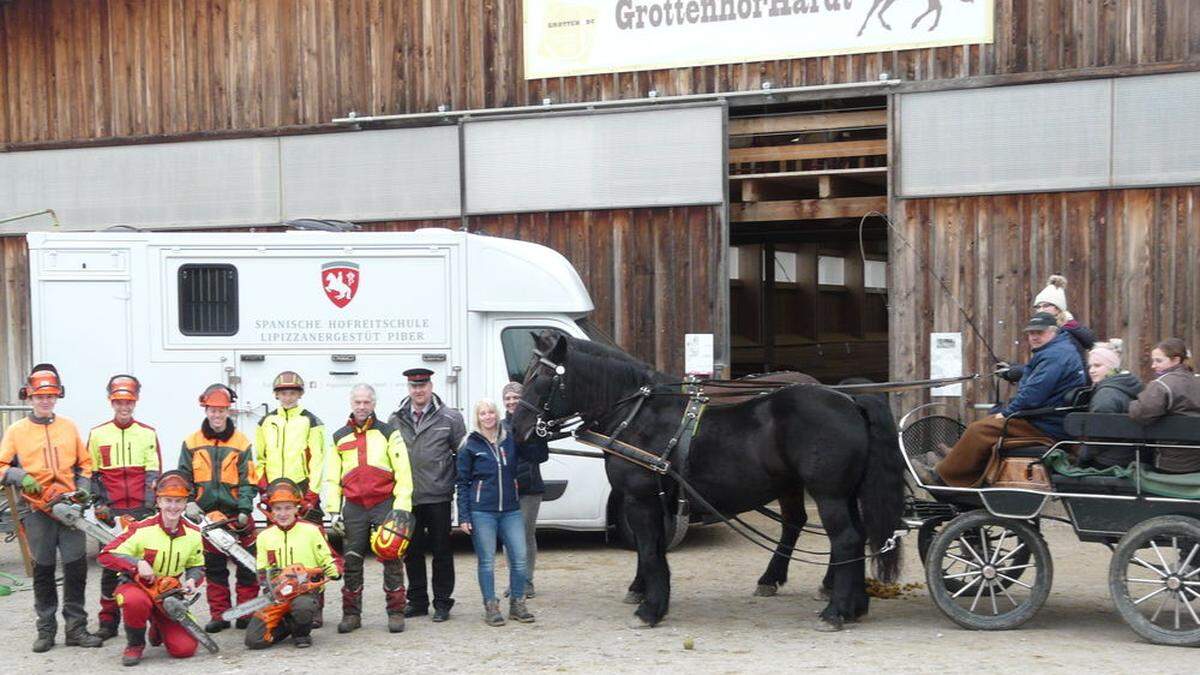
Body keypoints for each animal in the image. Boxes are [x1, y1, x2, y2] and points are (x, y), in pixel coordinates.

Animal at [511, 329, 902, 629]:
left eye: (540, 377)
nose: (516, 427)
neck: (637, 415)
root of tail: (850, 400)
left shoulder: (640, 496)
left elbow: (649, 549)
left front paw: (650, 609)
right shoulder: (652, 498)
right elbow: (649, 548)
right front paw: (645, 592)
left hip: (828, 493)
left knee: (846, 538)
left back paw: (835, 611)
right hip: (840, 491)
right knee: (852, 534)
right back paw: (853, 604)